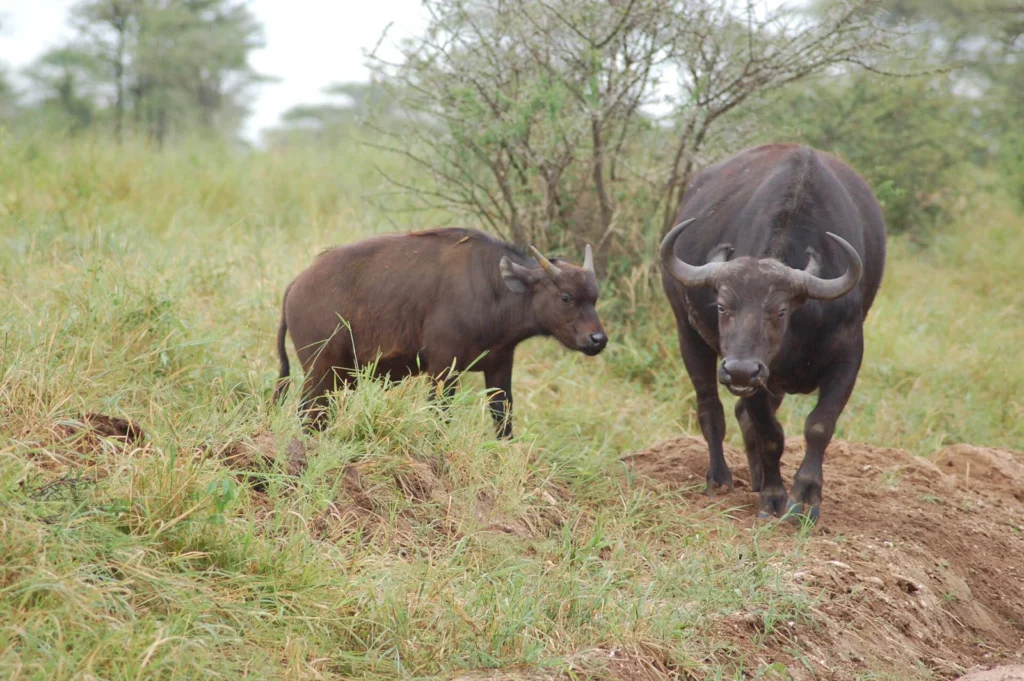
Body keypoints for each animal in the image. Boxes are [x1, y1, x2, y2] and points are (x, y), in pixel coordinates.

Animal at [273, 228, 608, 437]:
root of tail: (296, 285)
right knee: (310, 414)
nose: (598, 340)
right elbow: (439, 417)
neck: (494, 290)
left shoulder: (500, 366)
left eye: (595, 297)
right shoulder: (443, 370)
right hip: (321, 371)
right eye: (566, 297)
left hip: (337, 376)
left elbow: (503, 419)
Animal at [659, 144, 886, 522]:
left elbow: (819, 426)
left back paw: (755, 477)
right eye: (722, 307)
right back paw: (720, 479)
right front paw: (774, 497)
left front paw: (806, 497)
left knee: (741, 414)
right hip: (688, 335)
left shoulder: (849, 356)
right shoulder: (754, 377)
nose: (738, 370)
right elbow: (770, 434)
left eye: (779, 311)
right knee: (711, 409)